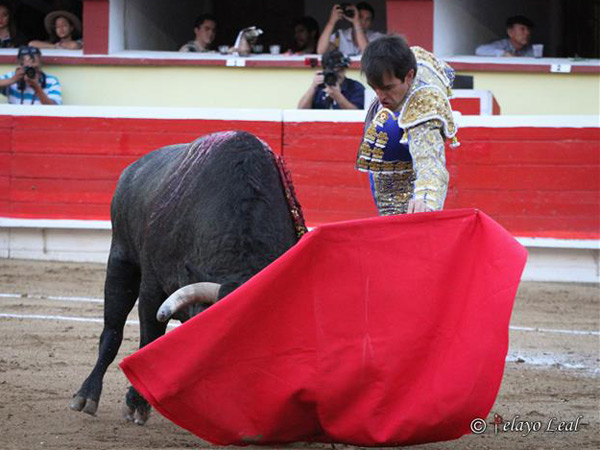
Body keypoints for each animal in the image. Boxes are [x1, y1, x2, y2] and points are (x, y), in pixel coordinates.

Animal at [71, 129, 304, 422]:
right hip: (121, 261)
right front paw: (136, 405)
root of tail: (132, 169)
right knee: (112, 331)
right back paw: (86, 396)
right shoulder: (152, 289)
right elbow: (149, 339)